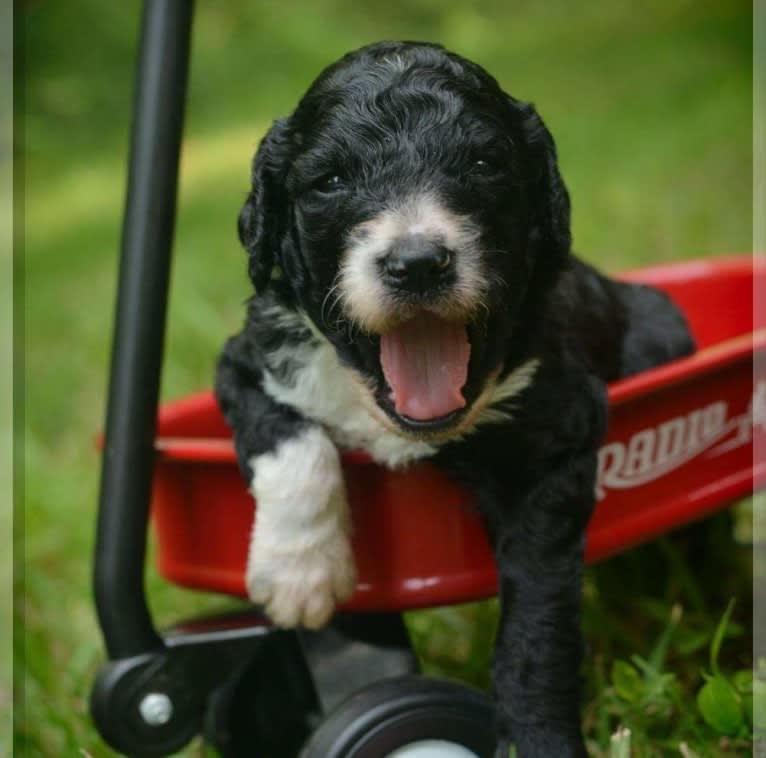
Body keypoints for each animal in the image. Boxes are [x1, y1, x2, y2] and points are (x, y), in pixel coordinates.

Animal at [216, 41, 696, 758]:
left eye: (483, 164)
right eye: (331, 180)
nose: (417, 262)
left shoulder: (556, 440)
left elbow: (537, 628)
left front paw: (537, 739)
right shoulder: (246, 359)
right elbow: (288, 436)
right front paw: (301, 575)